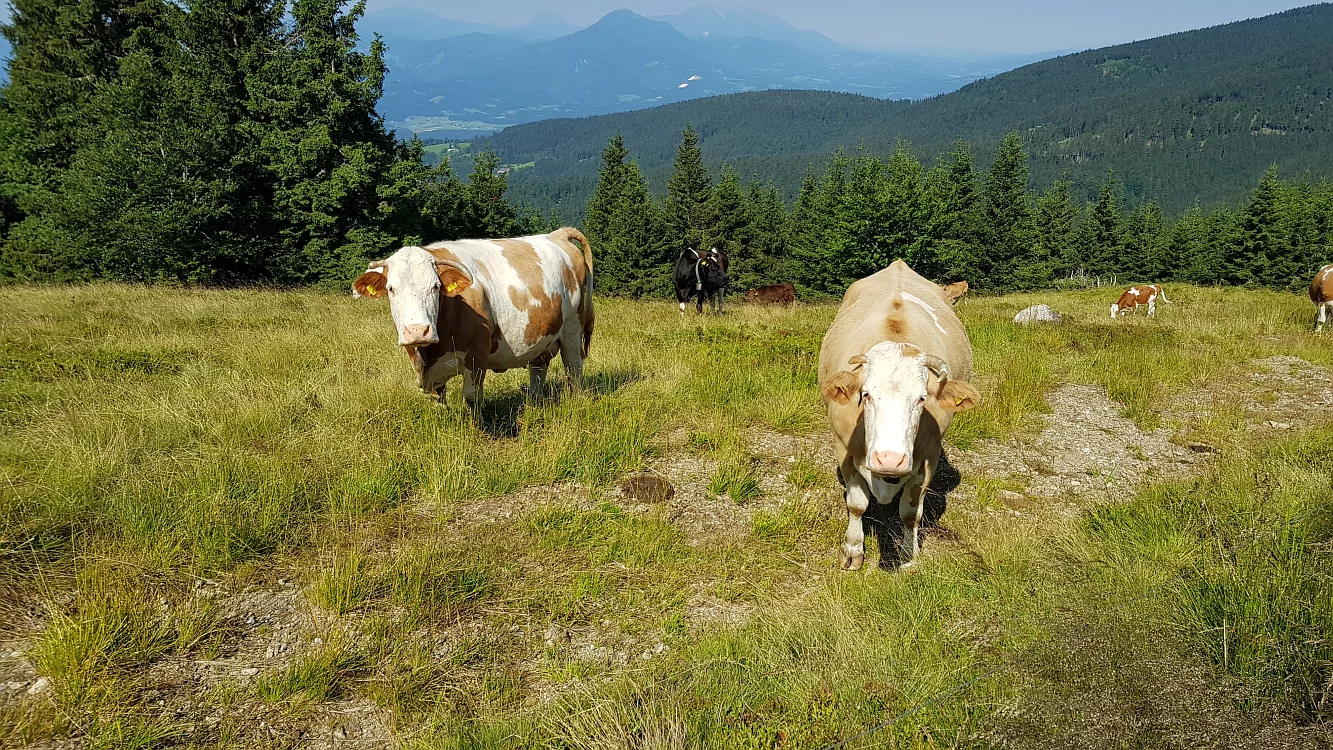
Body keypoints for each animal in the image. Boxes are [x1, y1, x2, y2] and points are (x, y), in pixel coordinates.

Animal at [351, 226, 591, 407]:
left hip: (573, 325)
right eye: (391, 289)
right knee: (539, 368)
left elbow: (471, 398)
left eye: (436, 287)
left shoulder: (476, 355)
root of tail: (556, 235)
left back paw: (576, 400)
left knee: (573, 366)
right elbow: (439, 399)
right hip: (542, 334)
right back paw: (533, 402)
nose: (418, 331)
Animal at [810, 259, 981, 570]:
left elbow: (911, 512)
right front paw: (853, 550)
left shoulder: (929, 457)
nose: (889, 459)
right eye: (866, 394)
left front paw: (908, 557)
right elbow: (856, 504)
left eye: (922, 398)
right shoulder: (843, 448)